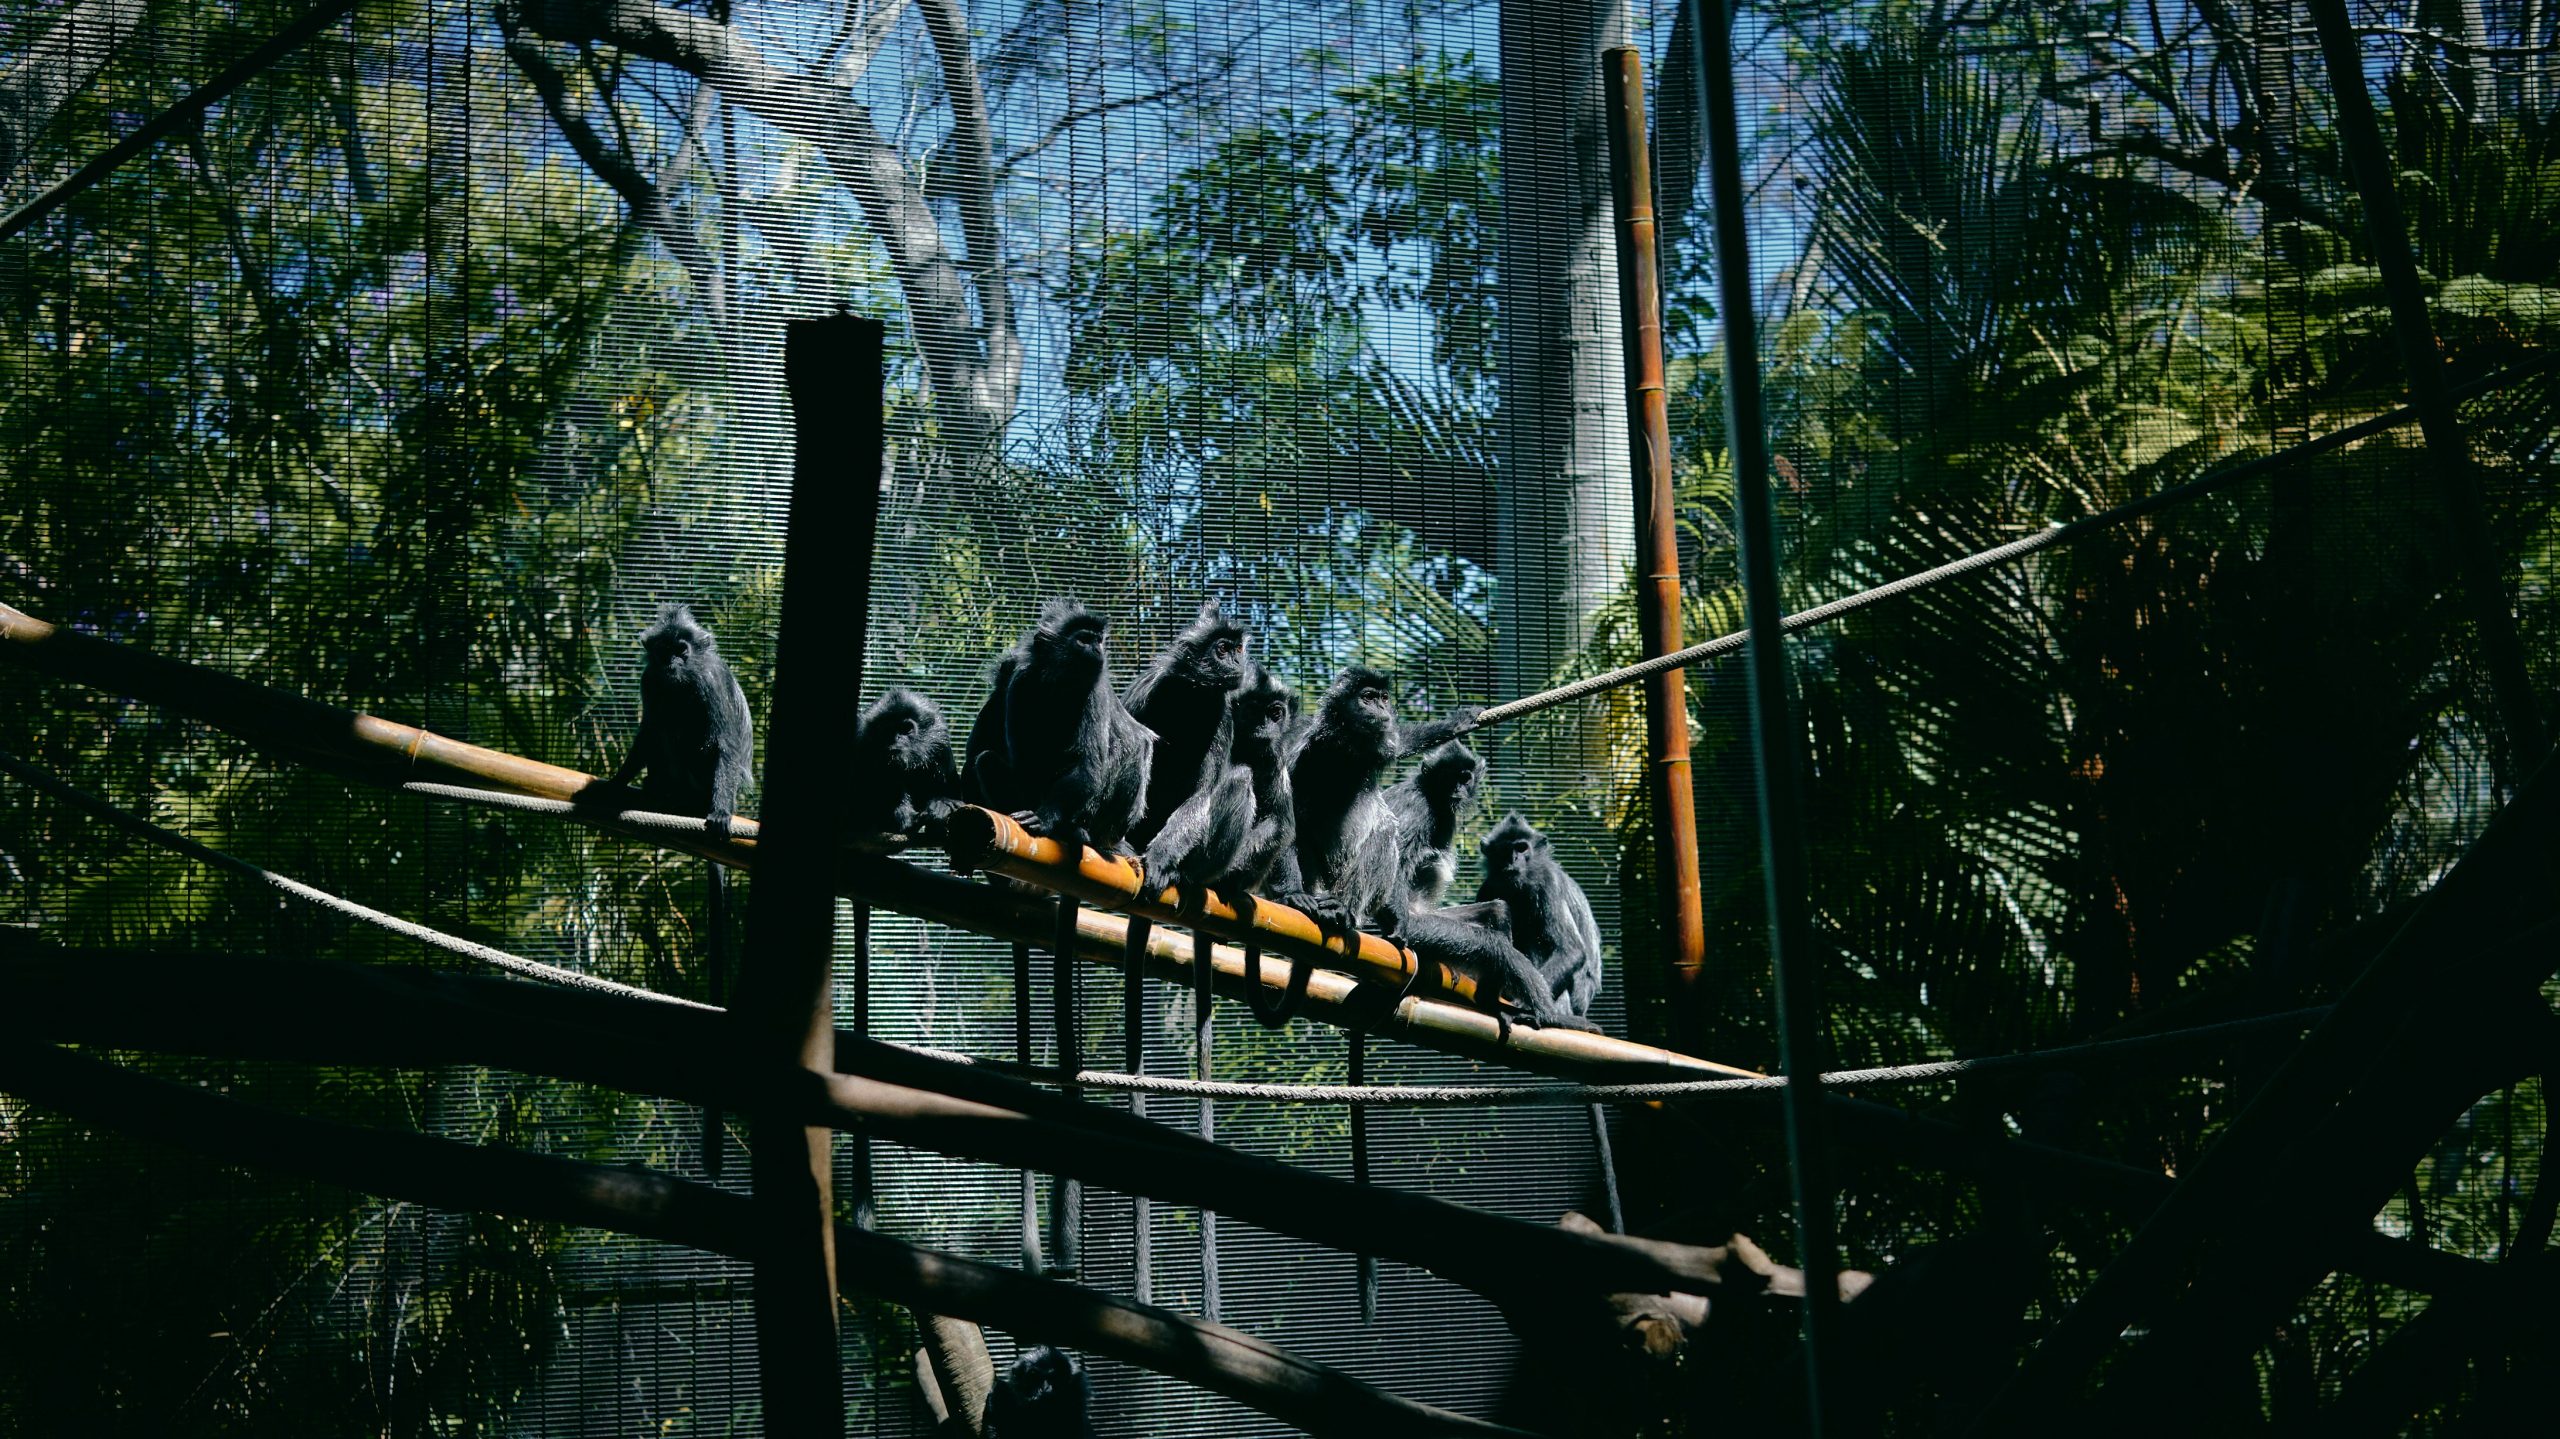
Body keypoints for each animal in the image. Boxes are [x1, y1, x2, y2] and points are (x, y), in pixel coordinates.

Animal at [604, 601, 753, 1176]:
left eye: (683, 649)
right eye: (663, 649)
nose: (672, 662)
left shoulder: (705, 680)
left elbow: (726, 741)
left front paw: (720, 813)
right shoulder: (652, 682)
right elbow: (647, 730)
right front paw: (617, 782)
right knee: (664, 726)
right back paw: (655, 790)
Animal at [848, 686, 962, 840]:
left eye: (906, 729)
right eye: (887, 730)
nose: (895, 738)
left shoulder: (940, 741)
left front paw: (941, 806)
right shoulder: (862, 740)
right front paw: (908, 822)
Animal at [963, 598, 1155, 858]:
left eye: (1098, 640)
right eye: (1083, 640)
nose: (1097, 649)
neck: (1061, 686)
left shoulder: (1093, 690)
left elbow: (1087, 765)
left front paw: (1045, 819)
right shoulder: (1021, 682)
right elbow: (1025, 761)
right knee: (987, 761)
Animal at [1122, 597, 1252, 848]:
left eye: (1239, 649)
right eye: (1223, 649)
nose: (1238, 661)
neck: (1190, 694)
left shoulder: (1221, 711)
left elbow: (1202, 796)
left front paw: (1162, 852)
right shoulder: (1147, 690)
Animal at [1476, 812, 1607, 1022]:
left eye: (1522, 848)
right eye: (1504, 850)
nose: (1513, 859)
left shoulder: (1548, 881)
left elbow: (1571, 950)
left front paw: (1524, 1003)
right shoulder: (1487, 888)